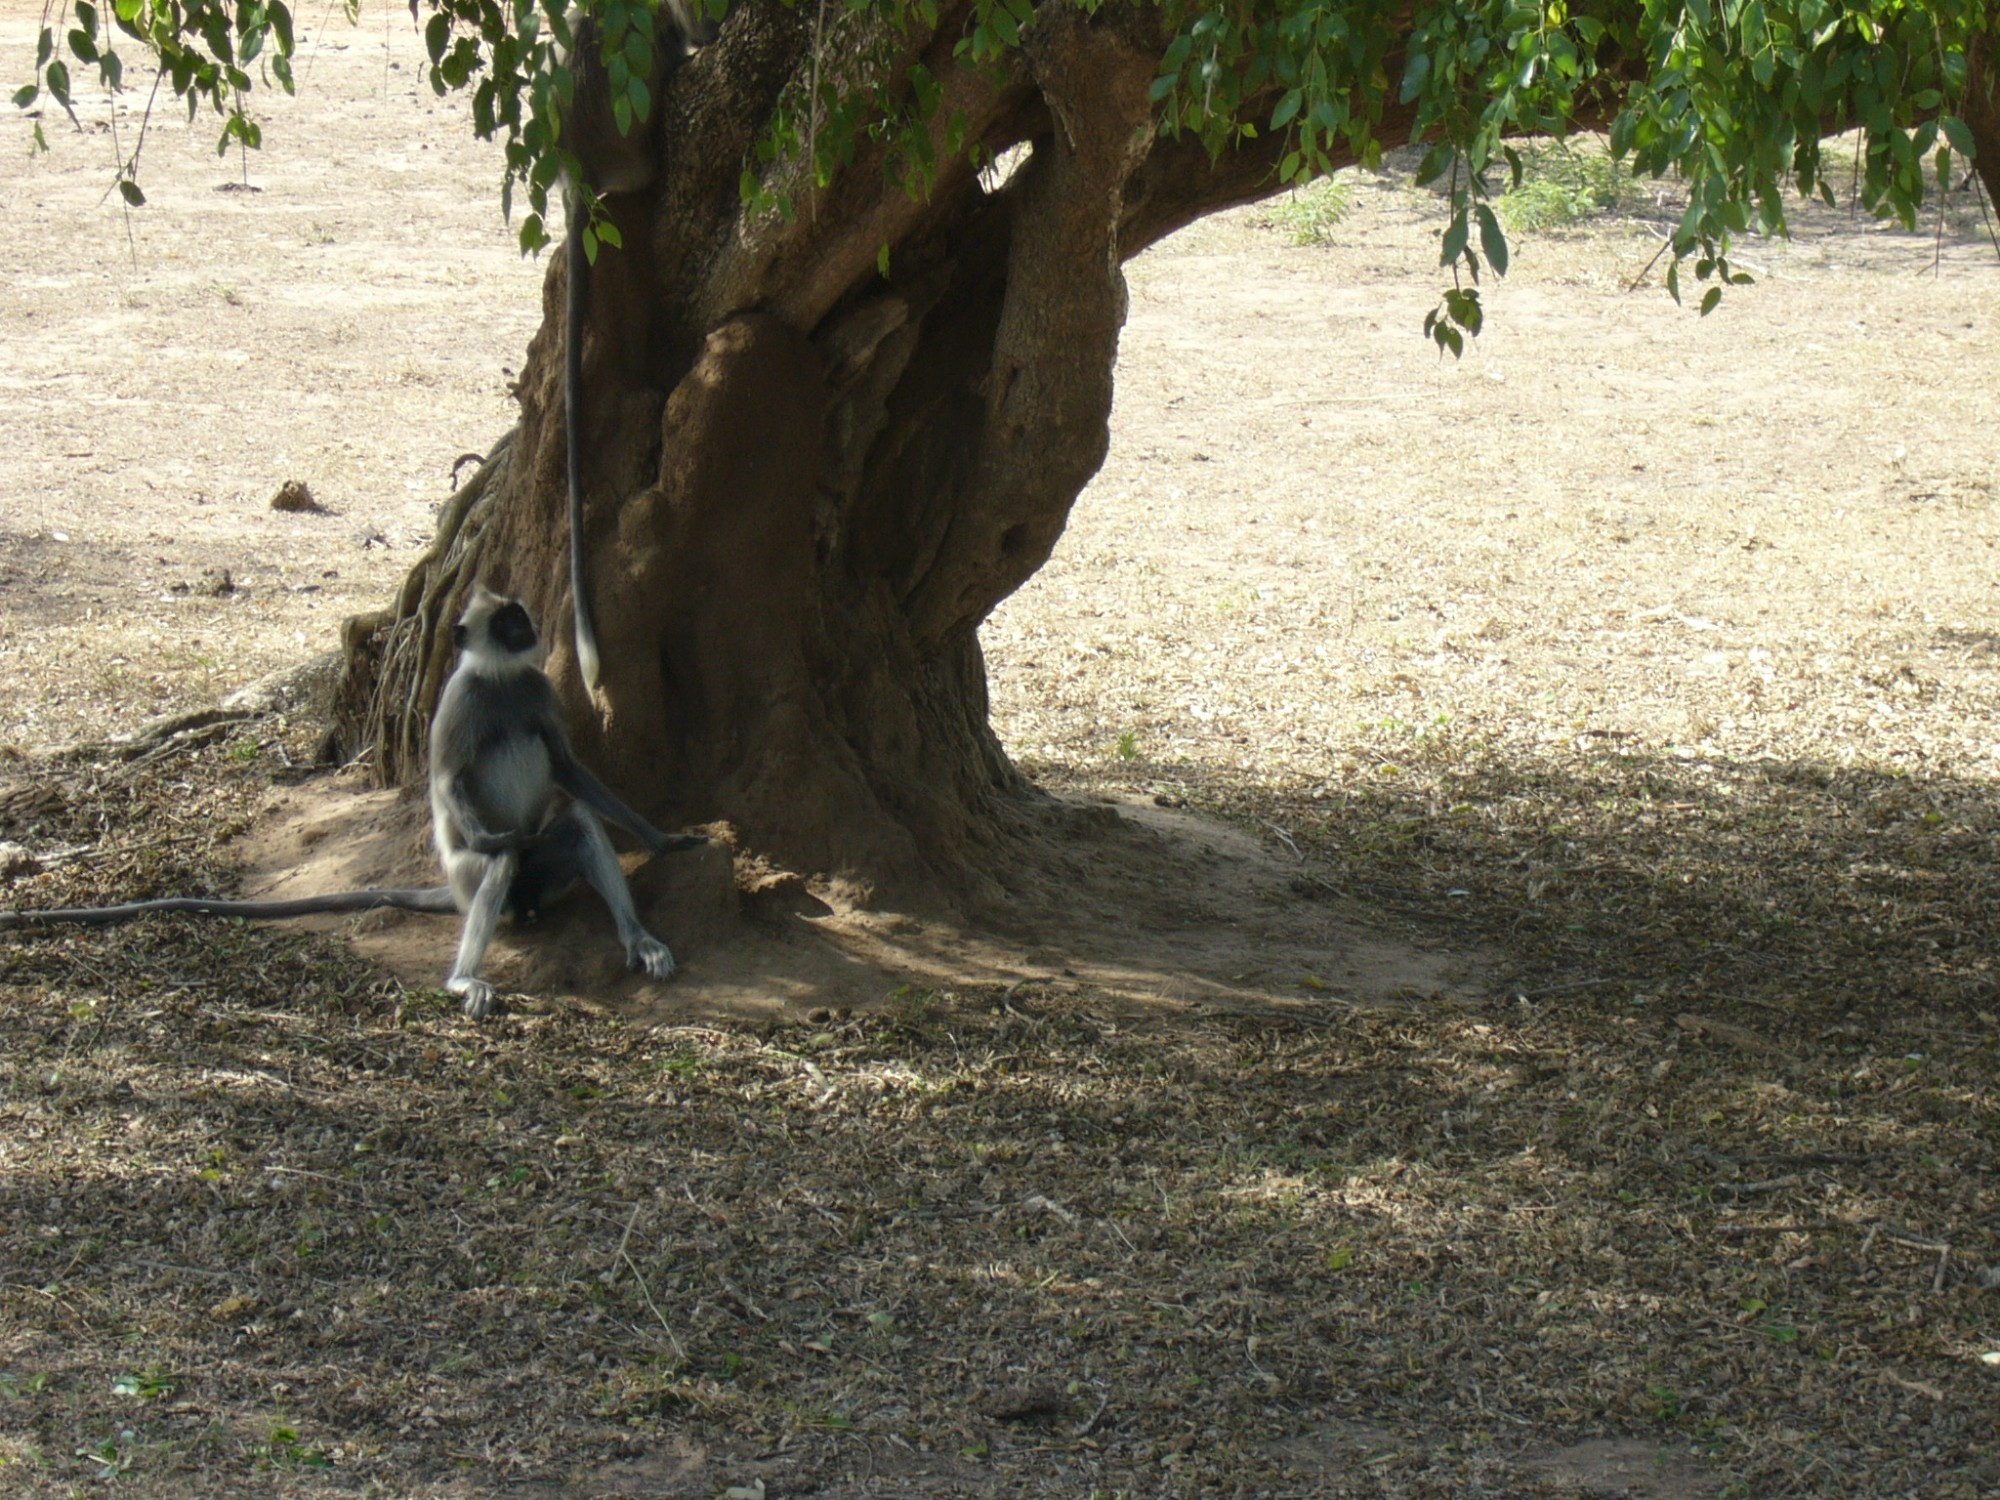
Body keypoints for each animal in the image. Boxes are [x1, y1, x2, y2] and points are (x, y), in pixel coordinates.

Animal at [0, 588, 708, 1024]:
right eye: (506, 624)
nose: (529, 627)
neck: (502, 681)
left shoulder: (534, 687)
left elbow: (566, 768)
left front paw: (664, 840)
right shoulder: (460, 700)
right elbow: (446, 783)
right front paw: (490, 838)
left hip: (545, 878)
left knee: (577, 824)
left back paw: (639, 940)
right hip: (476, 882)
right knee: (504, 863)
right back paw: (467, 968)